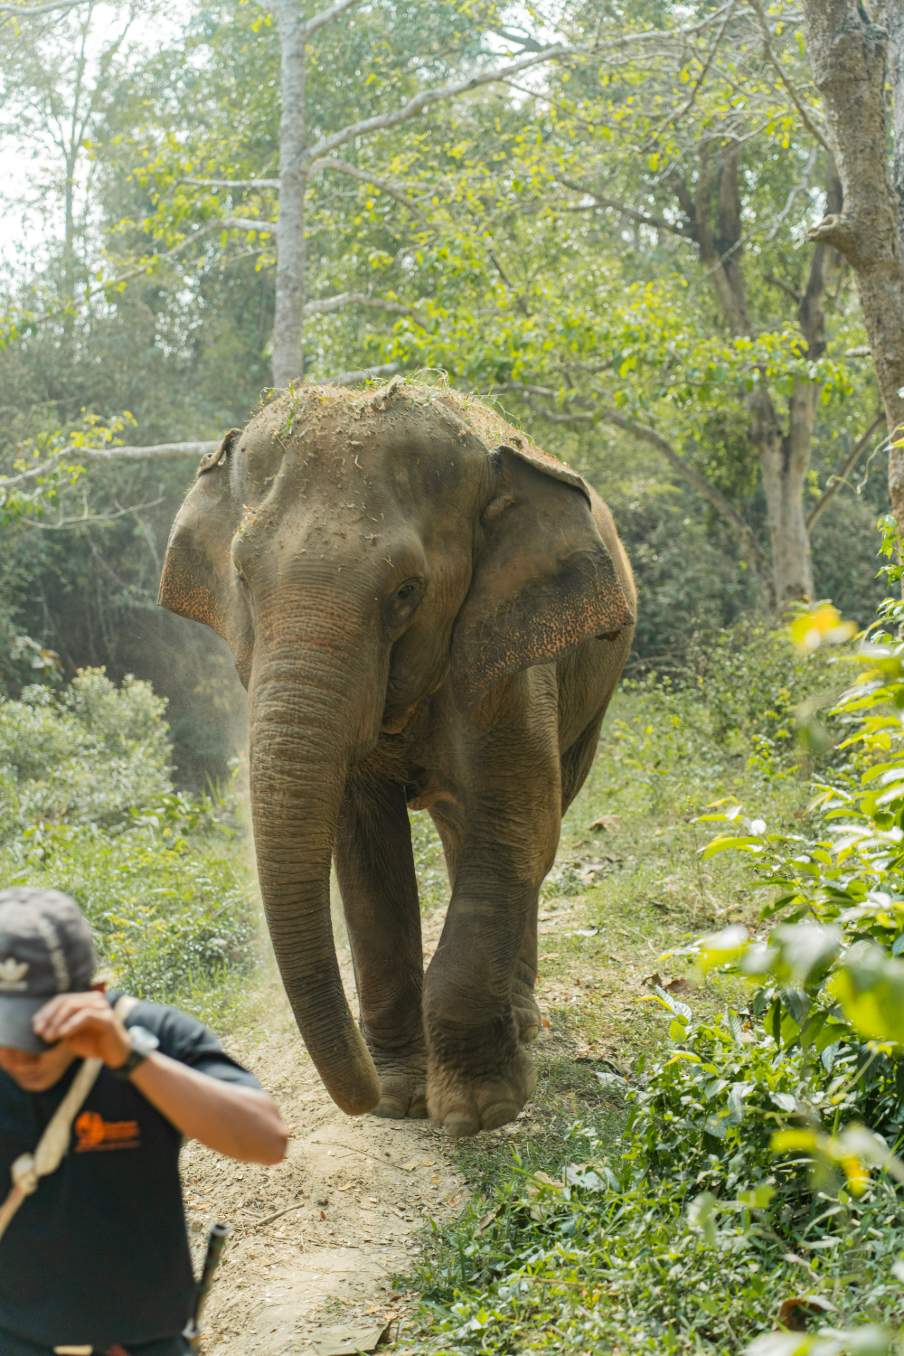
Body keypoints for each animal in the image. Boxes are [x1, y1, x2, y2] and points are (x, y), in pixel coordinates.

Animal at [158, 379, 635, 1136]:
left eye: (406, 592)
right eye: (241, 575)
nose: (356, 1094)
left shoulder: (509, 661)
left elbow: (522, 826)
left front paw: (477, 1111)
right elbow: (364, 851)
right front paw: (396, 1100)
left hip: (594, 689)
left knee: (537, 826)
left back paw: (524, 1021)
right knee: (460, 832)